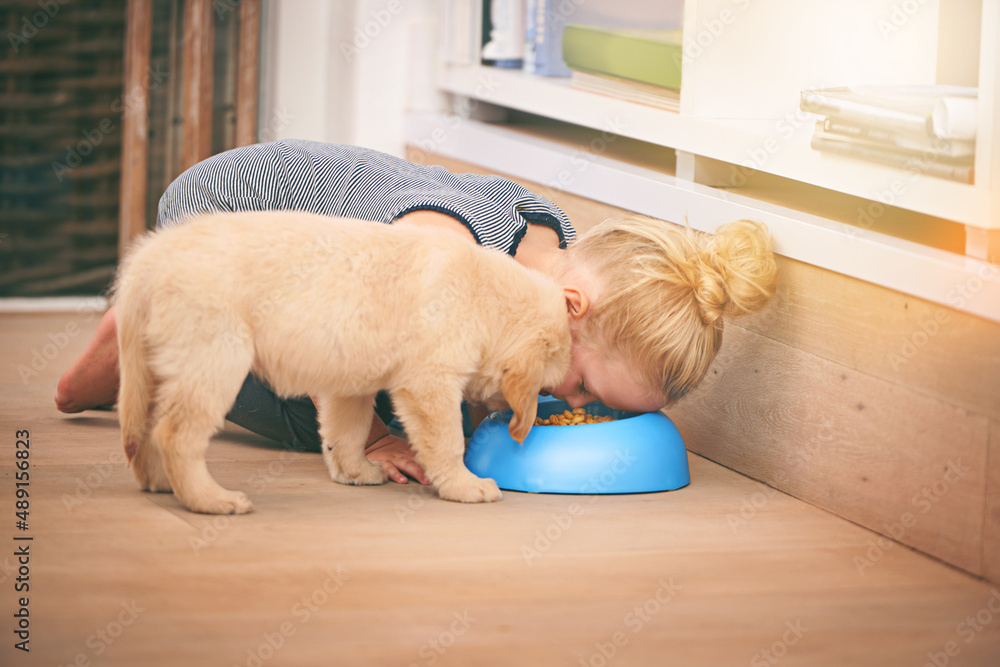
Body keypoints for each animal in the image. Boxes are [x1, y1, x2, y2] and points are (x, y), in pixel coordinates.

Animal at [115, 211, 572, 516]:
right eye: (546, 390)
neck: (485, 297)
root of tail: (148, 260)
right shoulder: (429, 383)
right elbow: (447, 442)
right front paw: (465, 486)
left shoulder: (350, 384)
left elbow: (346, 433)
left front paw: (356, 472)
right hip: (214, 358)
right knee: (176, 434)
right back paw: (211, 500)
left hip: (155, 365)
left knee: (144, 429)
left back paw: (159, 482)